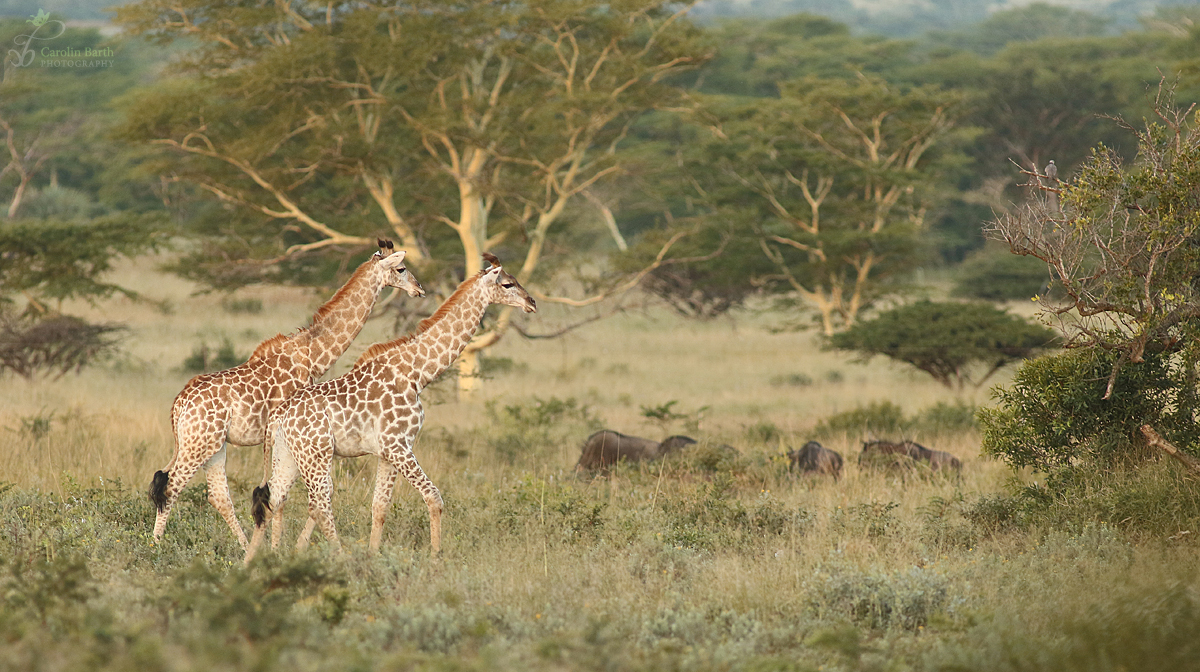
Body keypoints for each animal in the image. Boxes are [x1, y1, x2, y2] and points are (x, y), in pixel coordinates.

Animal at [149, 240, 424, 547]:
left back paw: (242, 546)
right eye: (401, 268)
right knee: (171, 486)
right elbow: (285, 493)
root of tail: (178, 405)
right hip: (198, 442)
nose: (419, 289)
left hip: (213, 444)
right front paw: (278, 546)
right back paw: (155, 546)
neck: (312, 354)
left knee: (216, 495)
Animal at [246, 253, 537, 561]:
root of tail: (278, 415)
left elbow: (380, 506)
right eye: (507, 284)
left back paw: (252, 561)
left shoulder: (387, 452)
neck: (417, 373)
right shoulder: (398, 445)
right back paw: (339, 557)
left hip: (288, 454)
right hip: (317, 454)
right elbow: (434, 497)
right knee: (319, 504)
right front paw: (436, 557)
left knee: (273, 499)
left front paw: (374, 556)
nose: (532, 302)